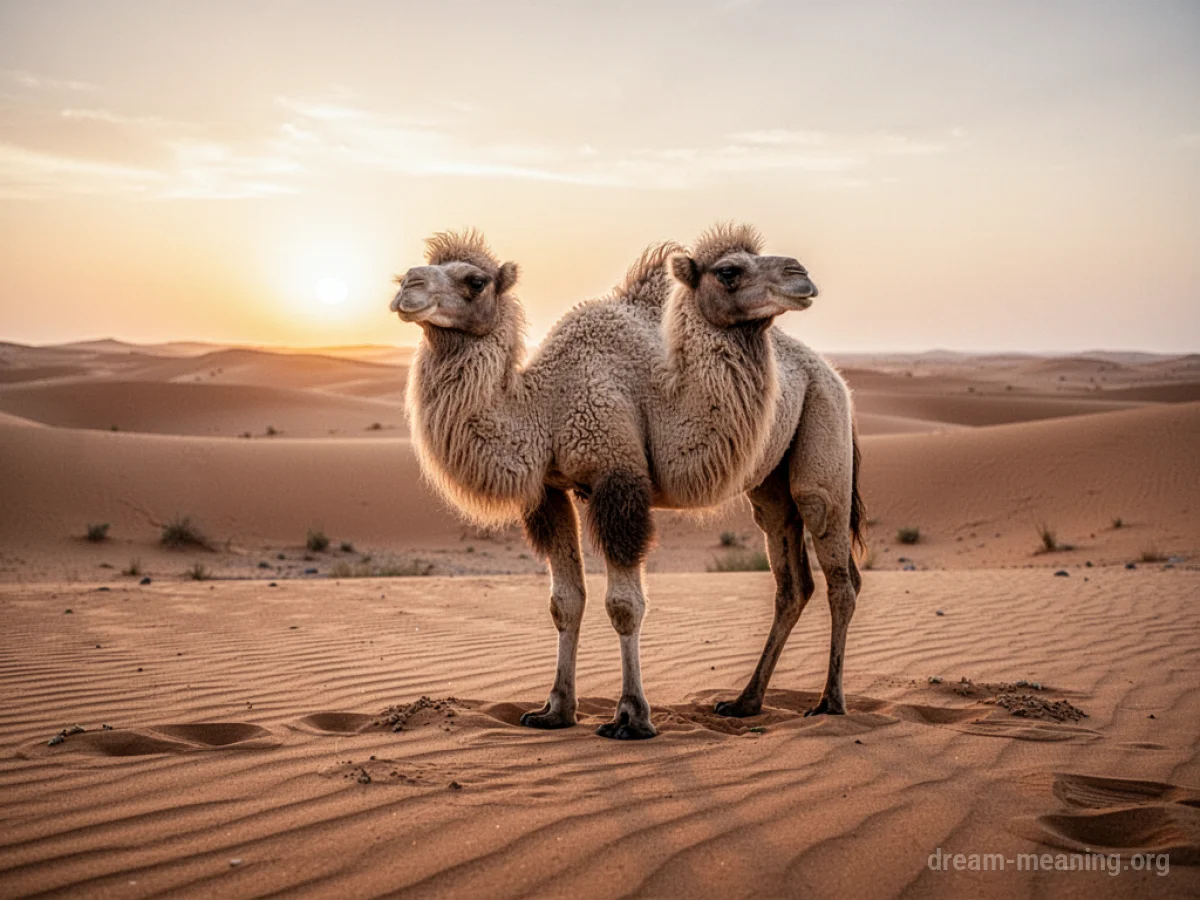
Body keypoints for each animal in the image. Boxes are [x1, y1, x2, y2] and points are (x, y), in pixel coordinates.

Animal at [391, 225, 863, 739]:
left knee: (838, 567)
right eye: (730, 270)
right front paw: (554, 710)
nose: (406, 285)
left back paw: (830, 702)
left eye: (475, 281)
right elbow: (565, 601)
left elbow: (623, 605)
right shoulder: (549, 492)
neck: (546, 402)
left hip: (825, 434)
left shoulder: (618, 475)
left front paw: (632, 717)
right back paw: (744, 702)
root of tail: (834, 376)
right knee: (791, 579)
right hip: (770, 487)